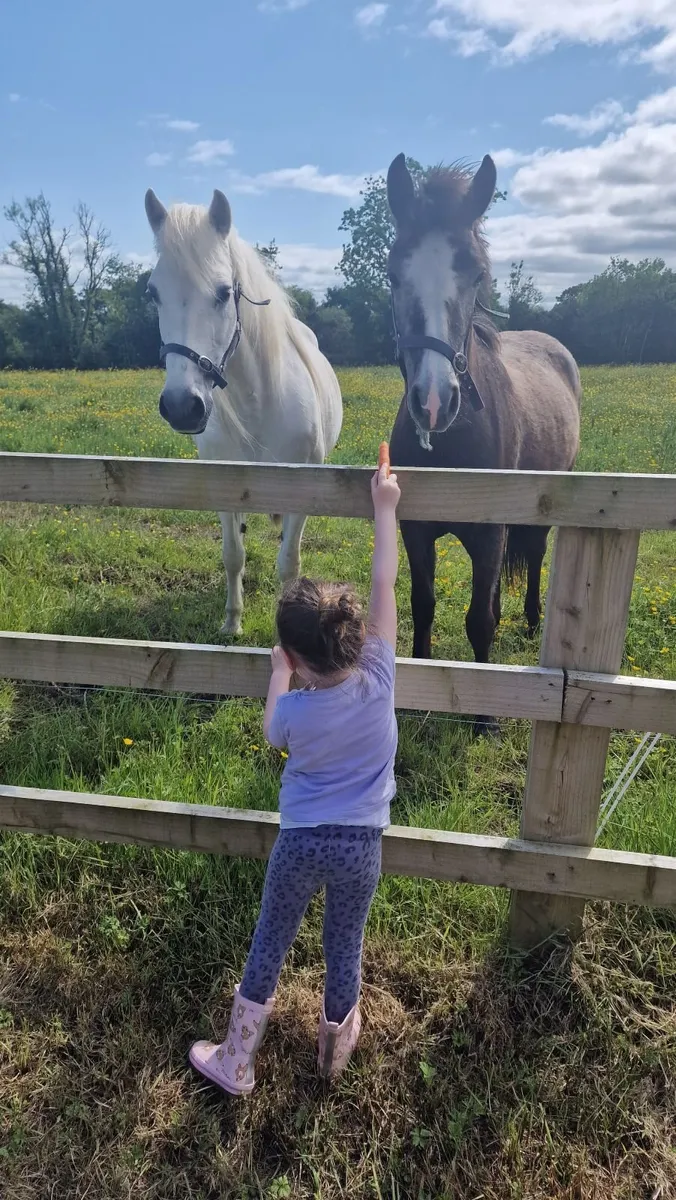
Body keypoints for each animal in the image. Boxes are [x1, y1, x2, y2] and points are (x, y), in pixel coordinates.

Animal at [144, 187, 343, 635]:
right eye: (153, 293)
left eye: (223, 292)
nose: (182, 406)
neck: (259, 403)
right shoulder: (223, 486)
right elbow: (233, 554)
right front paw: (232, 622)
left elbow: (289, 563)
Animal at [386, 154, 581, 732]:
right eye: (393, 272)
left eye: (475, 274)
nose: (433, 402)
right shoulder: (416, 529)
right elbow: (424, 604)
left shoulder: (492, 533)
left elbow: (479, 619)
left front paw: (485, 716)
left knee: (534, 555)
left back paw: (533, 619)